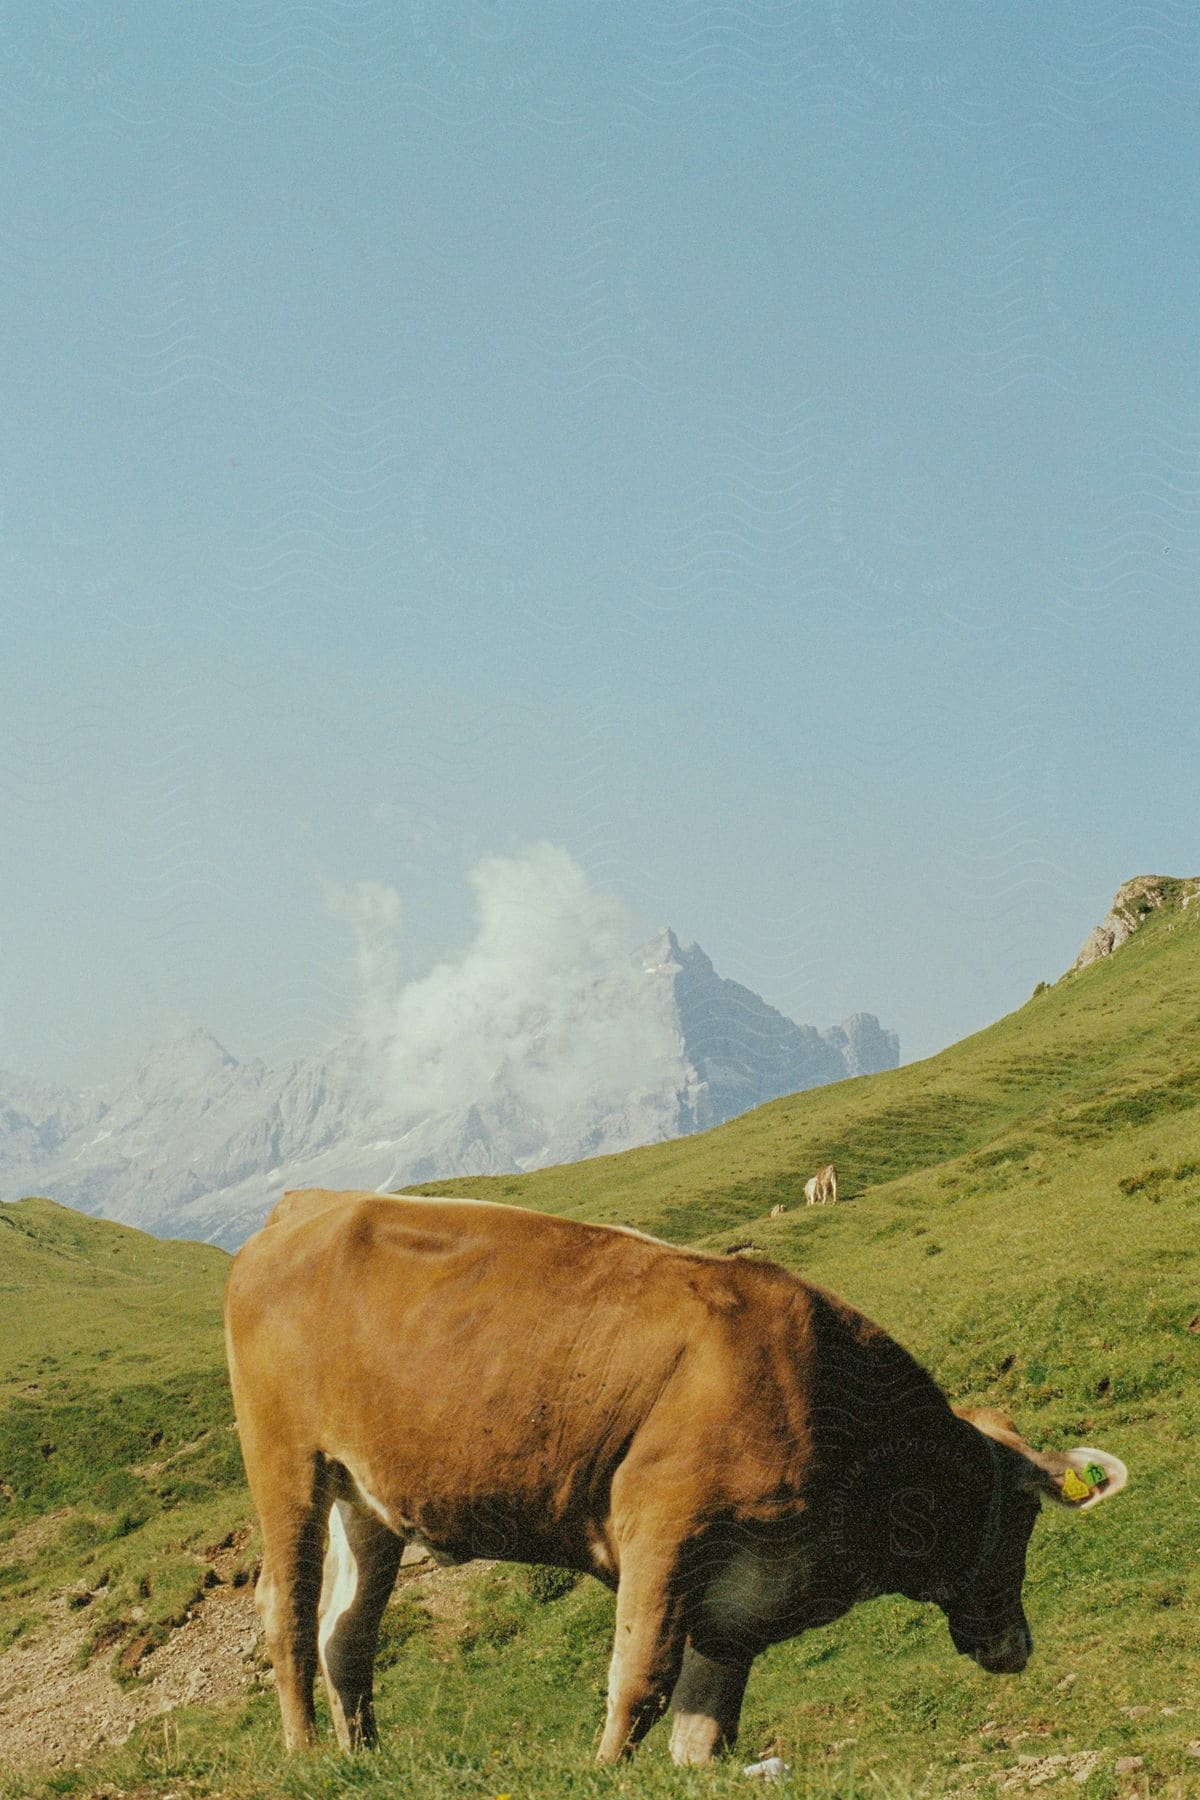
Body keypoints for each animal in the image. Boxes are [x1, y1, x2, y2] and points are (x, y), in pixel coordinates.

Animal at [223, 1188, 1129, 1764]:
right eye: (1018, 1519)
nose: (1016, 1646)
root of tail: (308, 1203)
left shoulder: (743, 1595)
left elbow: (706, 1731)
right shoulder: (662, 1528)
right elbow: (642, 1682)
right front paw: (603, 1772)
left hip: (365, 1494)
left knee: (347, 1630)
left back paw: (362, 1758)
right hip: (286, 1460)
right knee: (289, 1614)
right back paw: (305, 1755)